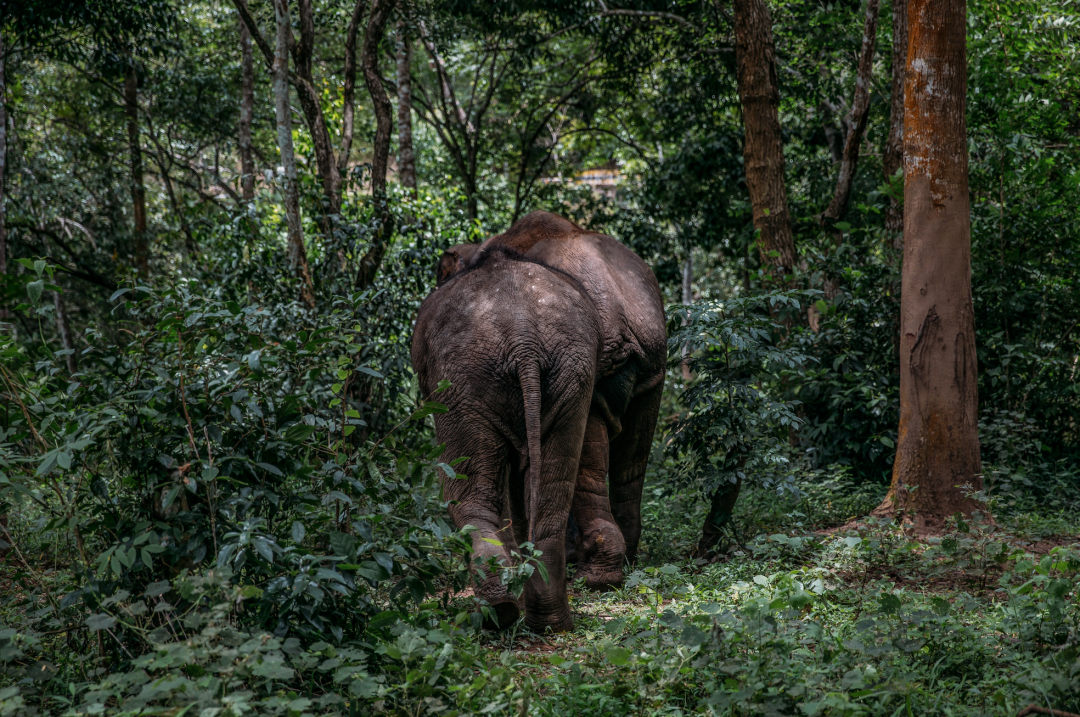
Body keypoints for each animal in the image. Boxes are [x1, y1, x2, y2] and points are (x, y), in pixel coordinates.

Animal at [408, 245, 604, 634]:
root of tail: (523, 340)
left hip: (463, 384)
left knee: (468, 494)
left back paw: (499, 613)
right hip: (573, 377)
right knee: (552, 496)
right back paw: (549, 622)